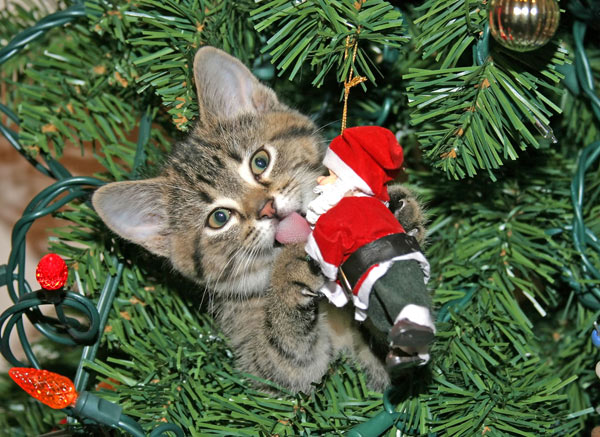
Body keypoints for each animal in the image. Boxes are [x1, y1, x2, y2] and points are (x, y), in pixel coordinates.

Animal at [92, 46, 426, 394]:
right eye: (219, 218)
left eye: (260, 162)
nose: (267, 208)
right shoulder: (264, 368)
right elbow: (289, 359)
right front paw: (290, 273)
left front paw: (397, 212)